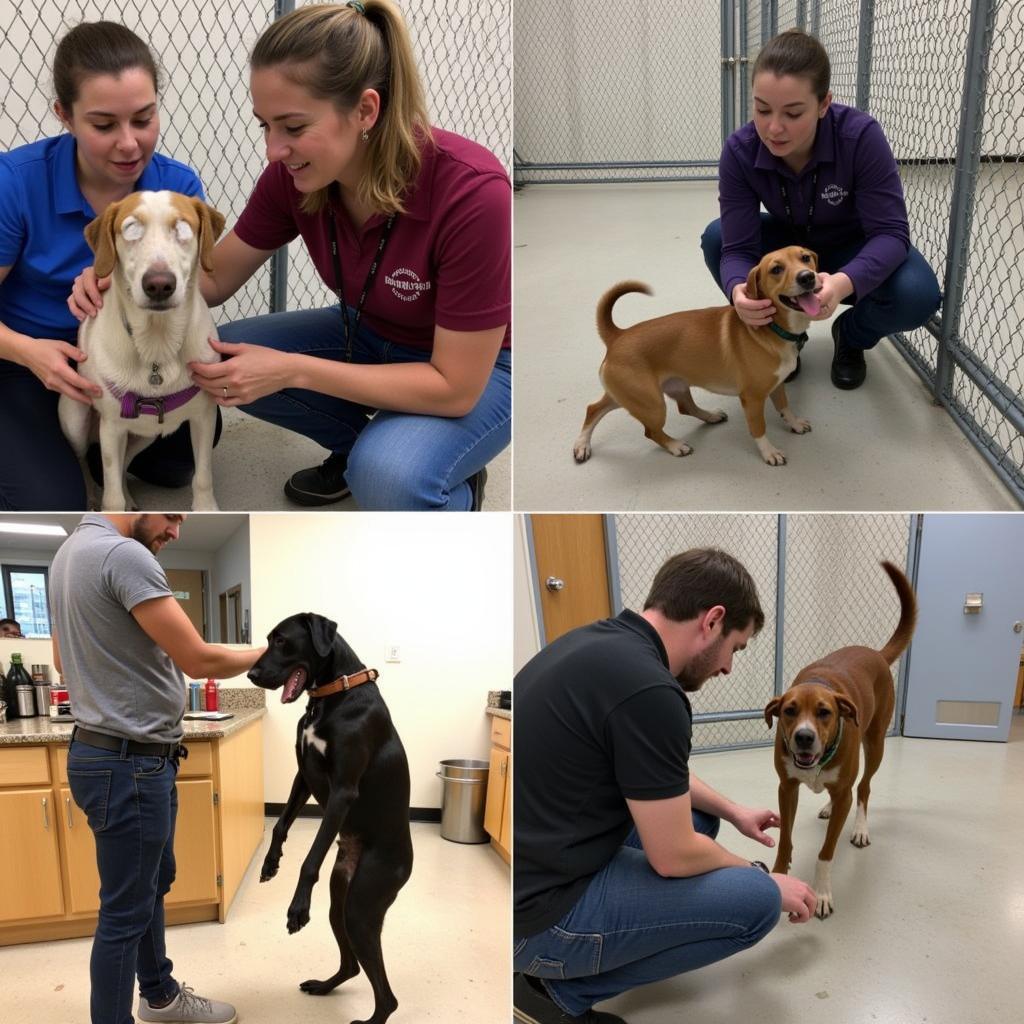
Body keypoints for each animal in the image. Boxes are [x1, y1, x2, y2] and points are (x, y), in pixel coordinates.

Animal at [59, 190, 226, 509]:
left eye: (182, 228)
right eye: (130, 228)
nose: (159, 285)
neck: (158, 344)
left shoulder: (204, 416)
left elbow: (203, 476)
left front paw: (205, 507)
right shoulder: (112, 427)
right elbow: (111, 496)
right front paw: (109, 508)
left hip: (148, 434)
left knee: (125, 462)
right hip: (75, 419)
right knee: (83, 461)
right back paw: (90, 497)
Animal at [249, 614, 413, 1024]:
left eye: (282, 640)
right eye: (267, 639)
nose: (252, 675)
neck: (333, 695)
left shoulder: (342, 791)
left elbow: (311, 858)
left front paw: (296, 907)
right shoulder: (304, 776)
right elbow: (280, 823)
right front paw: (271, 863)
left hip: (361, 909)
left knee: (388, 997)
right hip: (340, 900)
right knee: (352, 966)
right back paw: (324, 986)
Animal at [765, 561, 917, 921]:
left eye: (824, 712)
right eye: (789, 711)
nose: (804, 737)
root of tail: (876, 654)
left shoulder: (840, 788)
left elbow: (826, 852)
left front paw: (821, 893)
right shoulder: (786, 788)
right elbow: (785, 838)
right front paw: (779, 876)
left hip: (875, 744)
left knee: (862, 789)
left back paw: (859, 827)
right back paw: (828, 805)